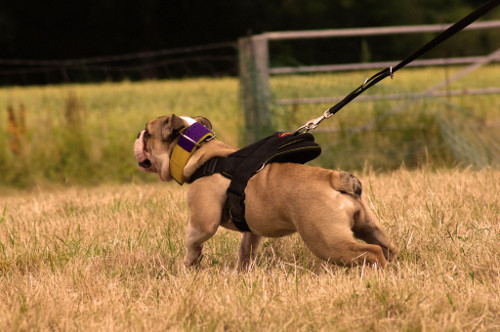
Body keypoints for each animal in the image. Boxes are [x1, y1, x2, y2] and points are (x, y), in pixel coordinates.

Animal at [134, 114, 398, 270]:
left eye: (147, 133)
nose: (137, 135)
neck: (201, 153)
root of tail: (333, 178)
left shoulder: (203, 221)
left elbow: (192, 240)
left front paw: (189, 262)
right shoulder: (252, 232)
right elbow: (246, 249)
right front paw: (241, 273)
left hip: (328, 242)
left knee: (372, 251)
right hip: (368, 226)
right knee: (386, 246)